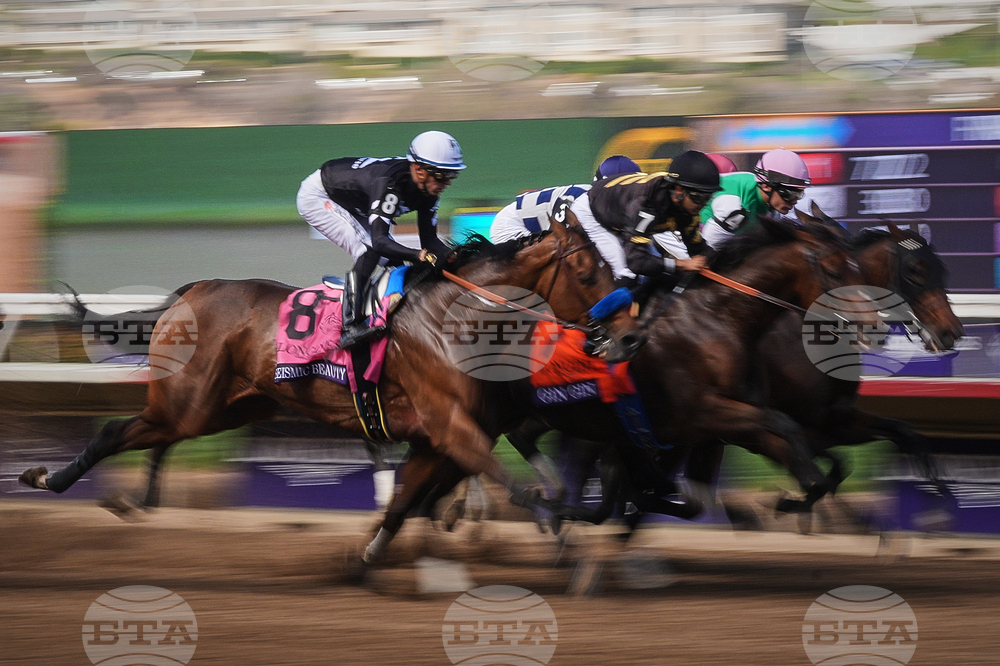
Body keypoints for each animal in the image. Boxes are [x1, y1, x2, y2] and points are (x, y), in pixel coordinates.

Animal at [19, 207, 646, 533]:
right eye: (587, 271)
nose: (630, 335)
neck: (456, 317)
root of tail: (195, 289)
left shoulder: (454, 431)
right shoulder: (450, 425)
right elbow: (499, 479)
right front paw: (550, 521)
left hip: (224, 408)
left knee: (150, 436)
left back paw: (130, 498)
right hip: (187, 402)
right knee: (113, 431)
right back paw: (51, 479)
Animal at [361, 215, 873, 561]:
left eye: (858, 266)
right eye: (834, 269)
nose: (872, 321)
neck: (715, 321)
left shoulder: (709, 428)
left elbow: (782, 448)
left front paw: (796, 498)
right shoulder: (700, 414)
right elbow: (779, 427)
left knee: (456, 458)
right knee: (466, 454)